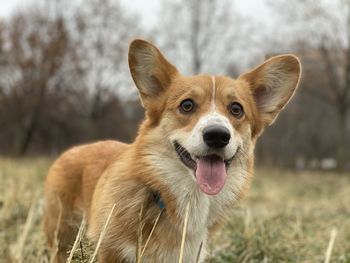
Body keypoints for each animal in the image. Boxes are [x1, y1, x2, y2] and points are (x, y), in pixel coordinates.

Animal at [43, 38, 300, 262]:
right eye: (187, 105)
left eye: (236, 109)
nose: (217, 136)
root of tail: (72, 150)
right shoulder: (110, 251)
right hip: (62, 237)